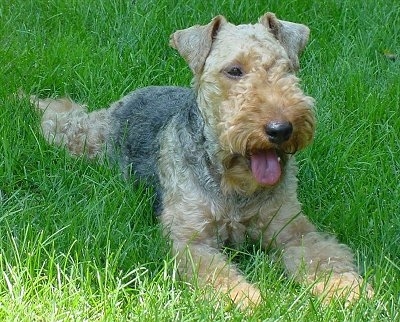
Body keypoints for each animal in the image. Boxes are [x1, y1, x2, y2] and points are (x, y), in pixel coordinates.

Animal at [29, 12, 374, 310]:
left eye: (287, 68)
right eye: (234, 70)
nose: (280, 129)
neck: (234, 183)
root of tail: (136, 93)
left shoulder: (292, 231)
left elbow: (323, 257)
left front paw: (346, 289)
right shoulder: (192, 239)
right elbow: (215, 271)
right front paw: (243, 298)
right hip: (85, 137)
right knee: (61, 111)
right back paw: (31, 100)